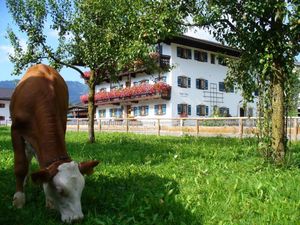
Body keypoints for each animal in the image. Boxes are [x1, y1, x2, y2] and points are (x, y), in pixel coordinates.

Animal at [9, 64, 99, 222]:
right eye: (60, 190)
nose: (77, 219)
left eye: (81, 189)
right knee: (26, 158)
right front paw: (19, 200)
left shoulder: (61, 125)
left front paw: (49, 202)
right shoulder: (16, 130)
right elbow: (20, 166)